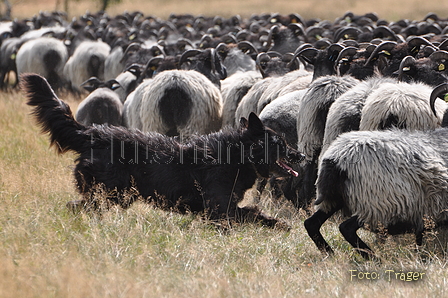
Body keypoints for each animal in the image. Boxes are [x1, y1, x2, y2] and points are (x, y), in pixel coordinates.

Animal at [304, 82, 448, 260]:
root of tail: (336, 160)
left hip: (334, 197)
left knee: (311, 223)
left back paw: (330, 254)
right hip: (377, 203)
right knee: (346, 228)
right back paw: (374, 259)